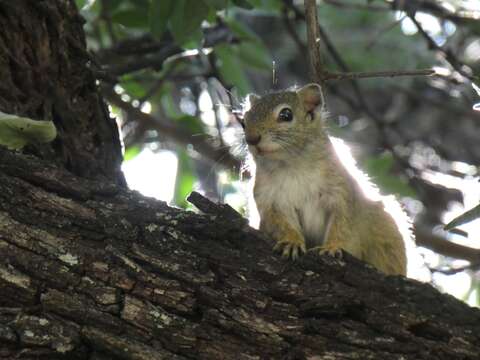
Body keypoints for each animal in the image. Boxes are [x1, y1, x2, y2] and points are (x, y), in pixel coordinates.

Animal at [244, 83, 404, 276]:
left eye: (286, 115)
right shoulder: (271, 201)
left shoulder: (340, 191)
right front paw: (291, 241)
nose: (251, 139)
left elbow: (342, 224)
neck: (292, 166)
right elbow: (281, 224)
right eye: (244, 121)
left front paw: (332, 247)